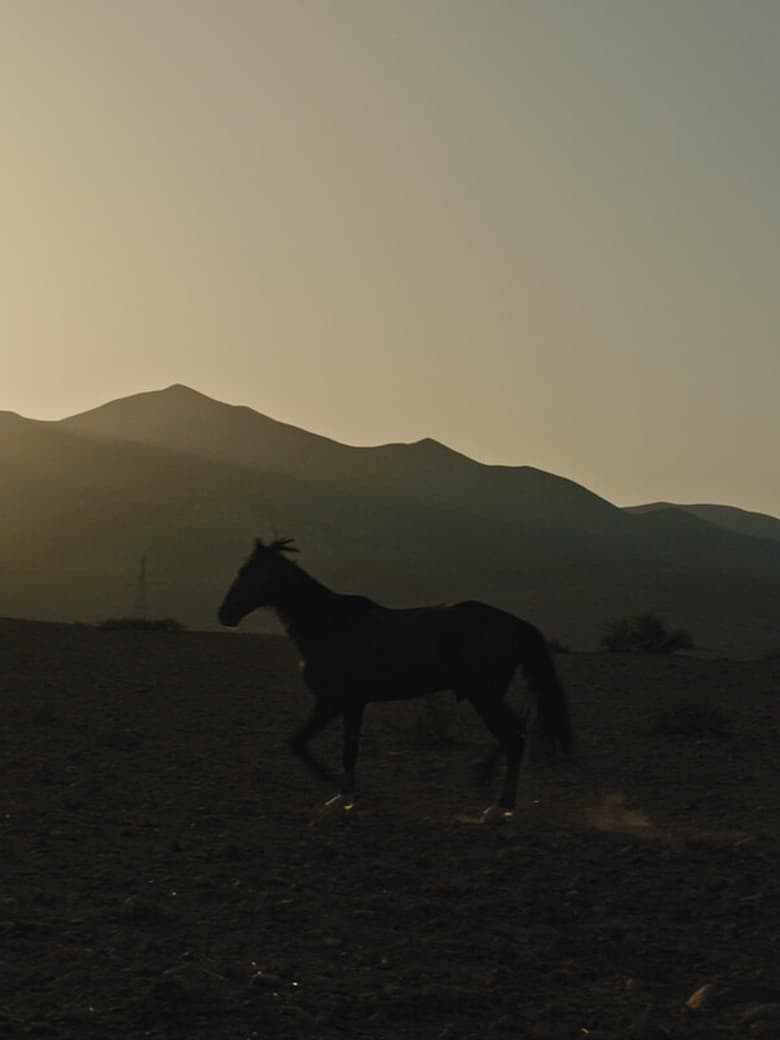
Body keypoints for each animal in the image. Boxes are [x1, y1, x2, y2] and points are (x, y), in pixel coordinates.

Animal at [220, 536, 574, 819]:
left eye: (247, 572)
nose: (224, 614)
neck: (328, 624)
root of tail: (515, 623)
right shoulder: (353, 704)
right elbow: (349, 749)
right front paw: (344, 796)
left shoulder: (331, 701)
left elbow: (298, 742)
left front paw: (328, 779)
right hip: (486, 695)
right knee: (515, 731)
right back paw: (487, 779)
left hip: (484, 696)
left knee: (514, 737)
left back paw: (500, 806)